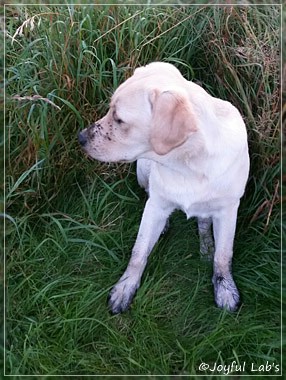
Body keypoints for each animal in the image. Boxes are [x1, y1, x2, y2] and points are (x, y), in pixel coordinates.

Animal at [79, 62, 250, 314]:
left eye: (119, 120)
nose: (80, 137)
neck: (187, 164)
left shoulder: (229, 209)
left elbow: (223, 255)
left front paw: (225, 290)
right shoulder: (157, 204)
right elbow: (138, 252)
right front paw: (124, 289)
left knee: (204, 222)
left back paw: (206, 245)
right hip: (142, 171)